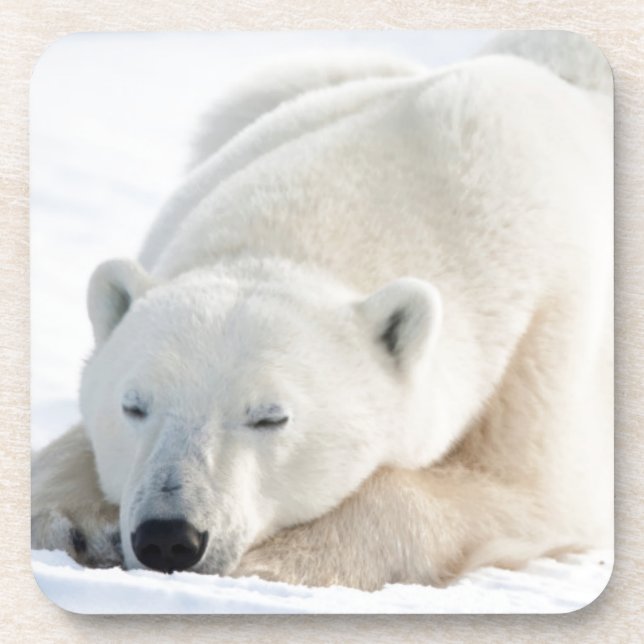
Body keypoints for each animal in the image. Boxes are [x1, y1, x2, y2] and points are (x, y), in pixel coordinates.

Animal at [32, 32, 613, 591]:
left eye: (271, 417)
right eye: (133, 405)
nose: (169, 536)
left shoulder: (543, 335)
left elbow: (528, 492)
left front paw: (276, 561)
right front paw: (71, 523)